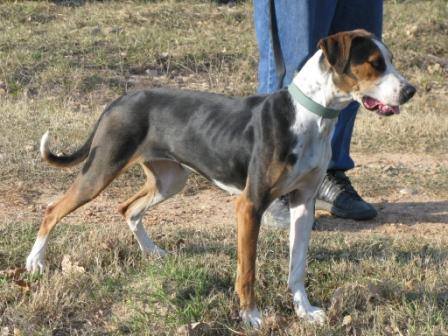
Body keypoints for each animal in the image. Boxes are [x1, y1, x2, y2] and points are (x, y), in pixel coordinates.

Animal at [26, 29, 414, 328]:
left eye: (390, 60)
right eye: (374, 63)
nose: (410, 91)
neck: (309, 116)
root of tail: (119, 100)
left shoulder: (303, 203)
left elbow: (298, 266)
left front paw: (304, 311)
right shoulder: (249, 205)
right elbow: (247, 270)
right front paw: (251, 316)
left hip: (170, 179)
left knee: (128, 208)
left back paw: (152, 253)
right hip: (101, 170)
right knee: (53, 210)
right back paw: (35, 264)